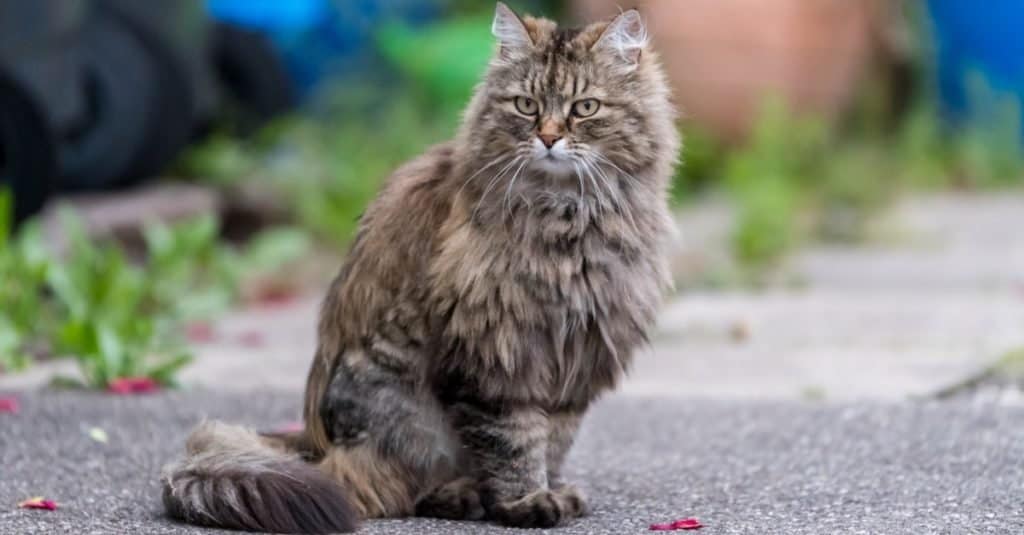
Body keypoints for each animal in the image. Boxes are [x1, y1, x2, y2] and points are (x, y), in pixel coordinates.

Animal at [161, 3, 679, 528]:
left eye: (585, 108)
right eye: (526, 106)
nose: (549, 138)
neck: (570, 218)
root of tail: (311, 444)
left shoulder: (576, 357)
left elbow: (553, 441)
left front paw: (551, 490)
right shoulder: (494, 359)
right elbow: (515, 442)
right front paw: (526, 502)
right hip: (404, 405)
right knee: (385, 486)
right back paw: (461, 496)